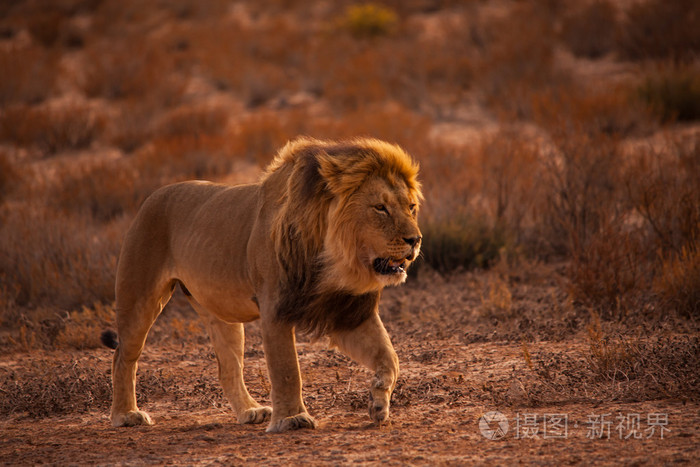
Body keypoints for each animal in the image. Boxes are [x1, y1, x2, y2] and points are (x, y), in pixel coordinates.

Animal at [102, 137, 422, 434]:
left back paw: (250, 411)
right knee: (122, 356)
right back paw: (126, 415)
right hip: (140, 298)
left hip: (220, 312)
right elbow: (287, 369)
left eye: (411, 207)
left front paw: (378, 402)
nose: (416, 240)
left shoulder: (348, 313)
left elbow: (389, 356)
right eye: (380, 208)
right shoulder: (275, 310)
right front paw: (293, 419)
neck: (335, 262)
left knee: (228, 368)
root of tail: (151, 196)